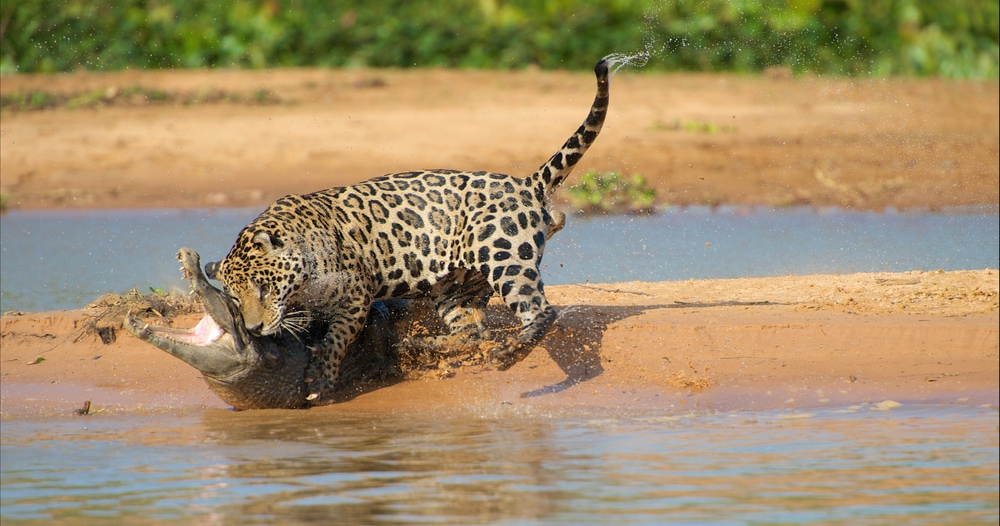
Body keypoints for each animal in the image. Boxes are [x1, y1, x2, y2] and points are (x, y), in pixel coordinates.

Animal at [213, 56, 619, 404]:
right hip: (455, 287)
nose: (255, 328)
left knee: (541, 311)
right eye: (235, 299)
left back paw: (507, 354)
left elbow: (336, 339)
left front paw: (322, 378)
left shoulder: (357, 294)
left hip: (503, 255)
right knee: (473, 332)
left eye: (263, 288)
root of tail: (525, 183)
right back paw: (421, 347)